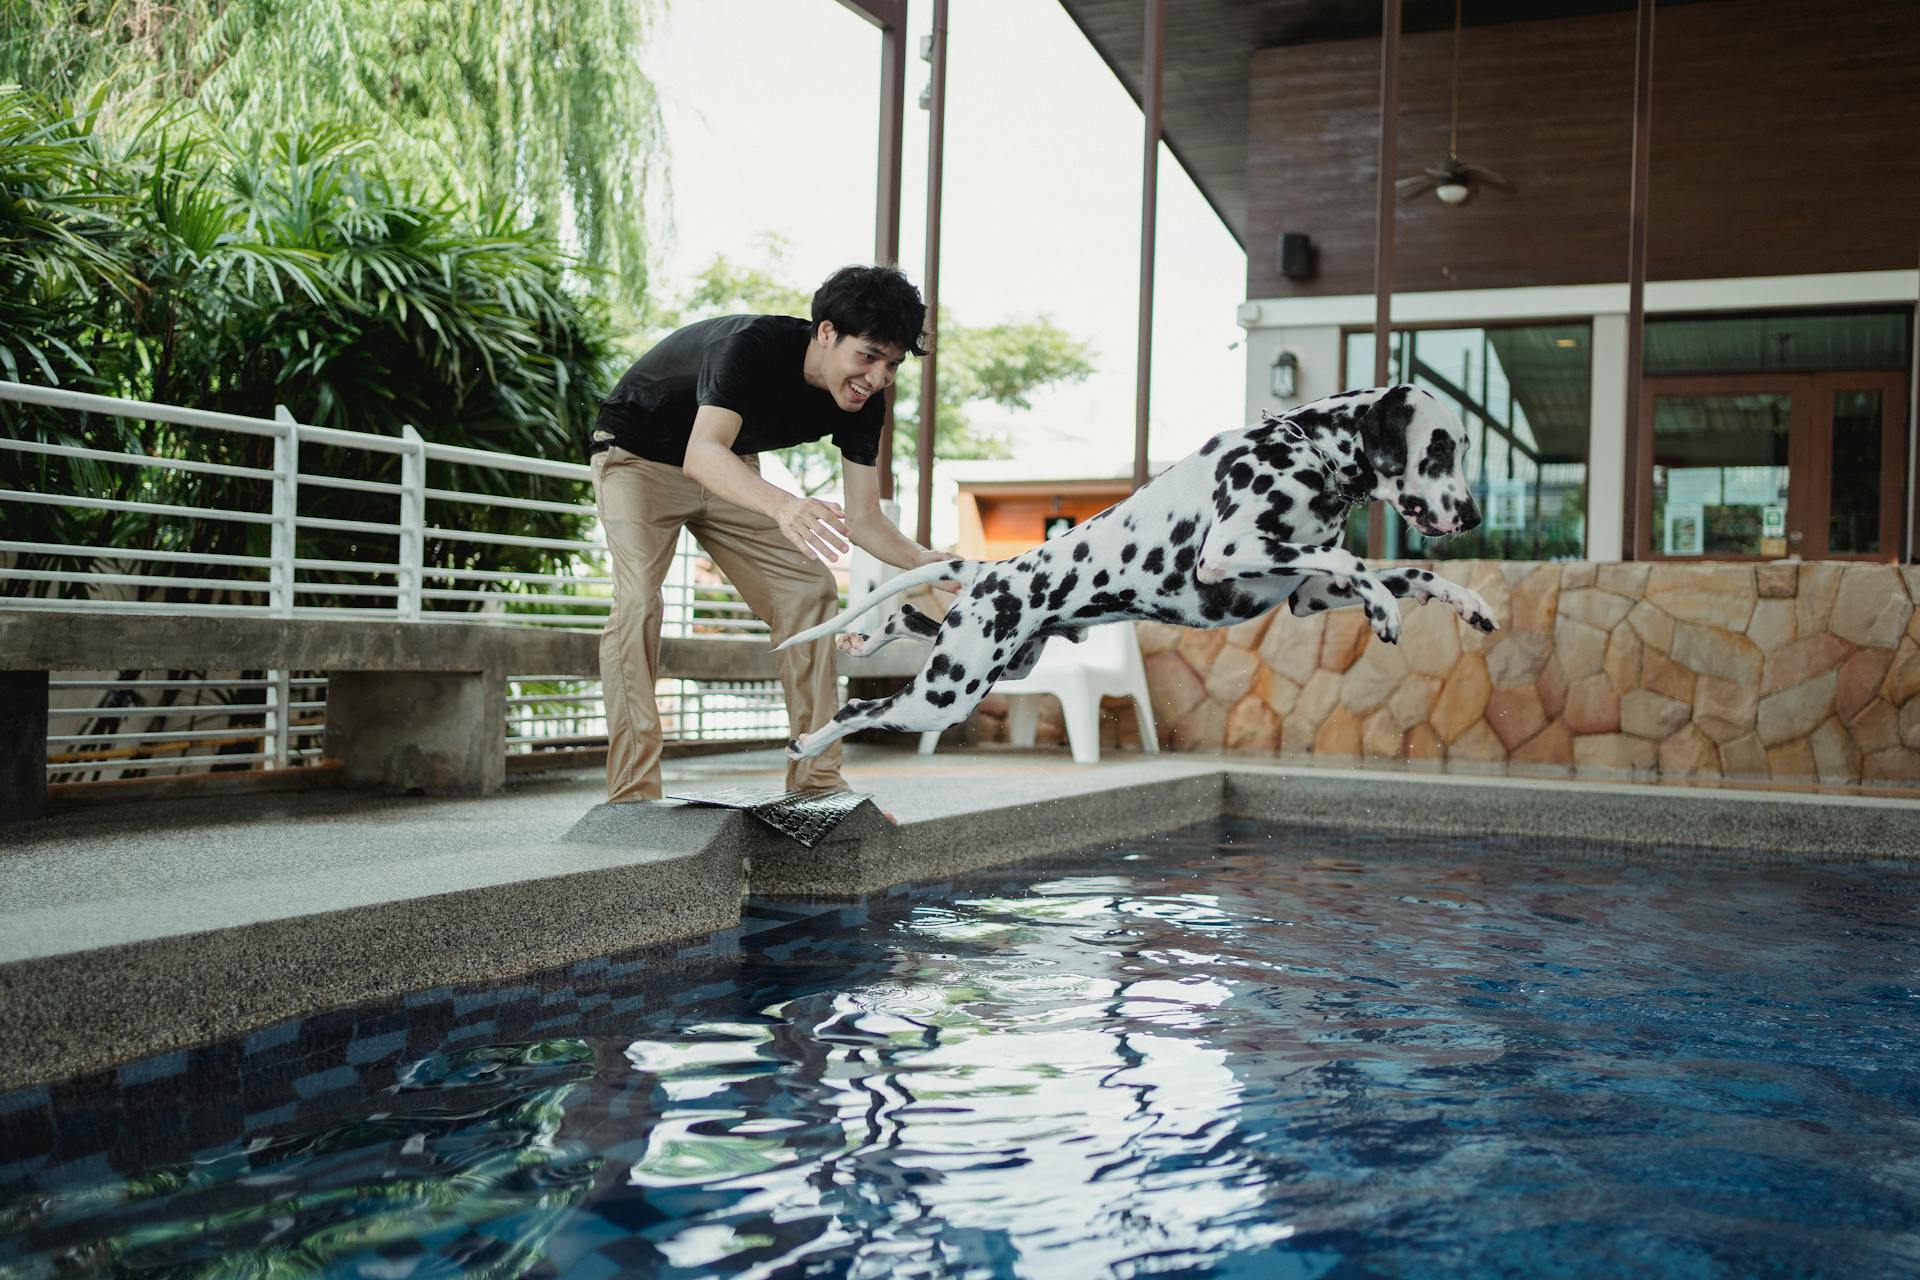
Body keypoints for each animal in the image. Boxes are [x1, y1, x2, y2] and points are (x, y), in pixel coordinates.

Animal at [779, 379, 1497, 759]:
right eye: (1439, 448)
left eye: (1464, 447)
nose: (1472, 516)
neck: (1304, 451)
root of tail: (991, 568)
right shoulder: (1228, 552)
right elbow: (1355, 559)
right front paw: (1384, 607)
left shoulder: (1308, 595)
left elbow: (1402, 572)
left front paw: (1467, 601)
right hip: (943, 694)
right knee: (859, 709)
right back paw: (809, 745)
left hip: (999, 664)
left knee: (906, 616)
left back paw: (864, 638)